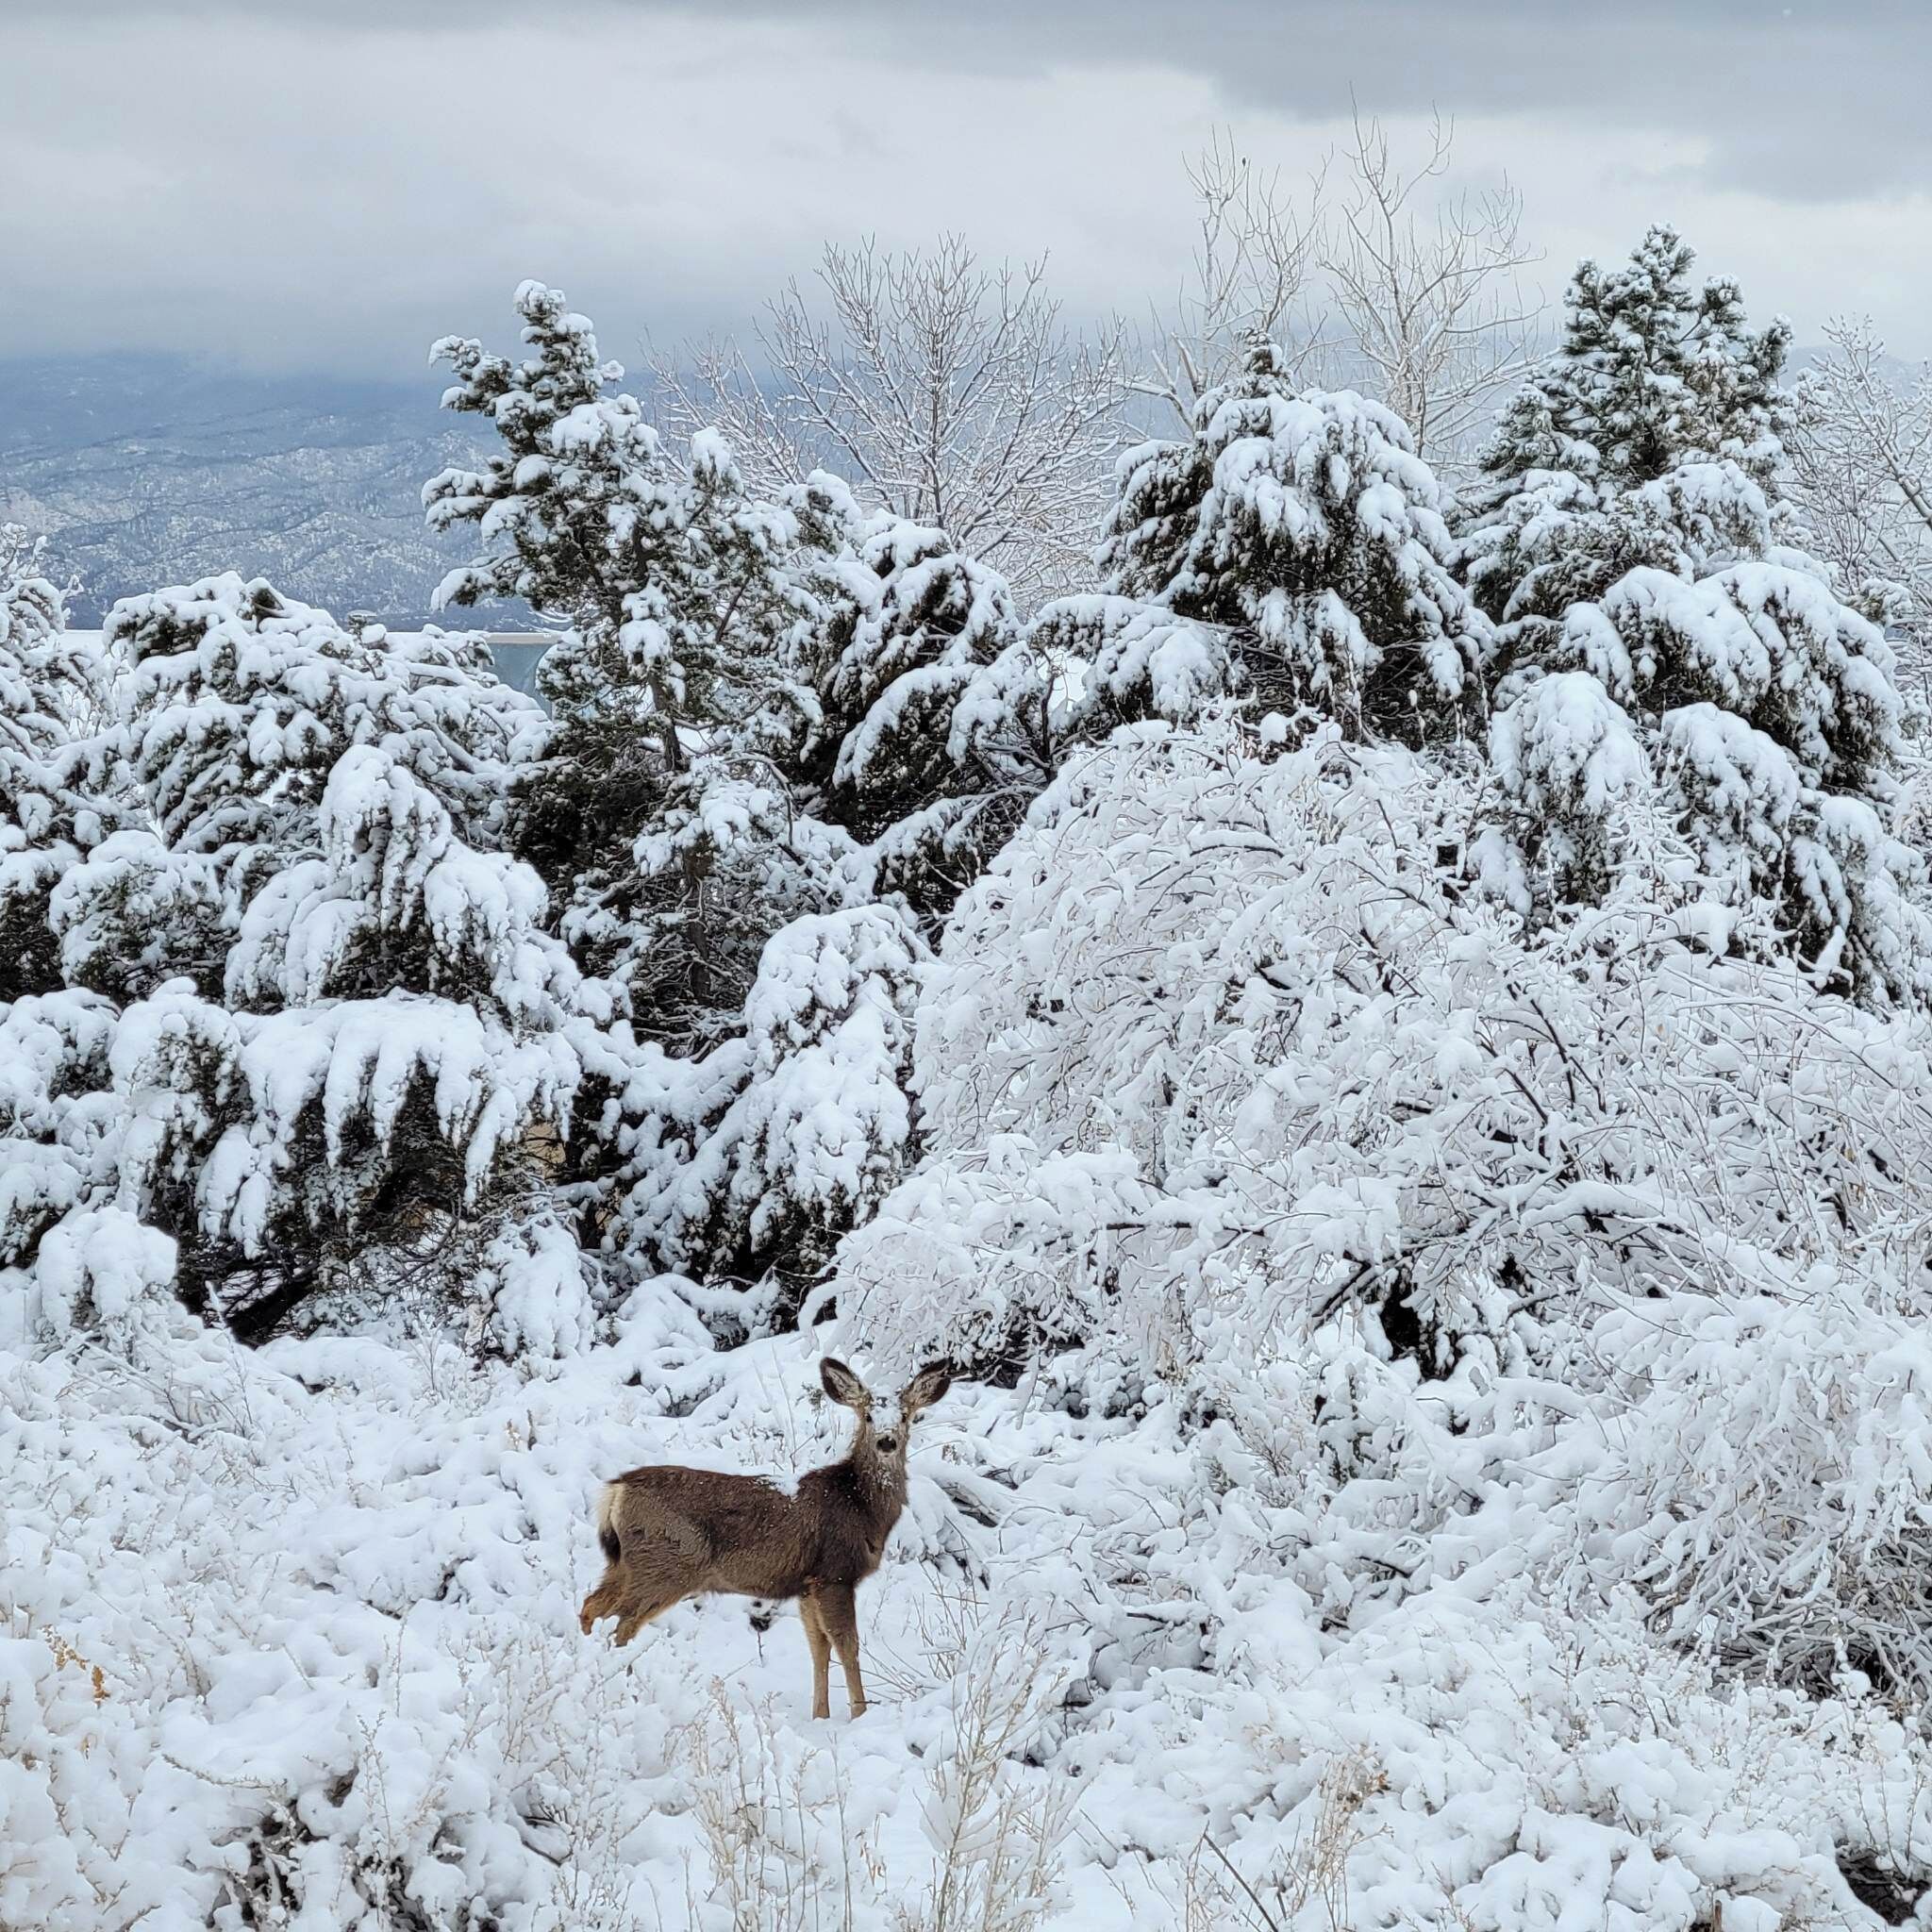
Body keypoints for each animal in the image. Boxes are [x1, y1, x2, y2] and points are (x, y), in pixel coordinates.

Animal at [578, 1357, 952, 1719]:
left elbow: (819, 1647)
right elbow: (848, 1645)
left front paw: (820, 1716)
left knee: (590, 1606)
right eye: (869, 1415)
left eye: (904, 1416)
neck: (859, 1506)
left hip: (625, 1564)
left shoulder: (807, 1585)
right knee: (622, 1625)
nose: (886, 1441)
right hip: (665, 1564)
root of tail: (616, 1490)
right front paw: (859, 1715)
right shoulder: (835, 1574)